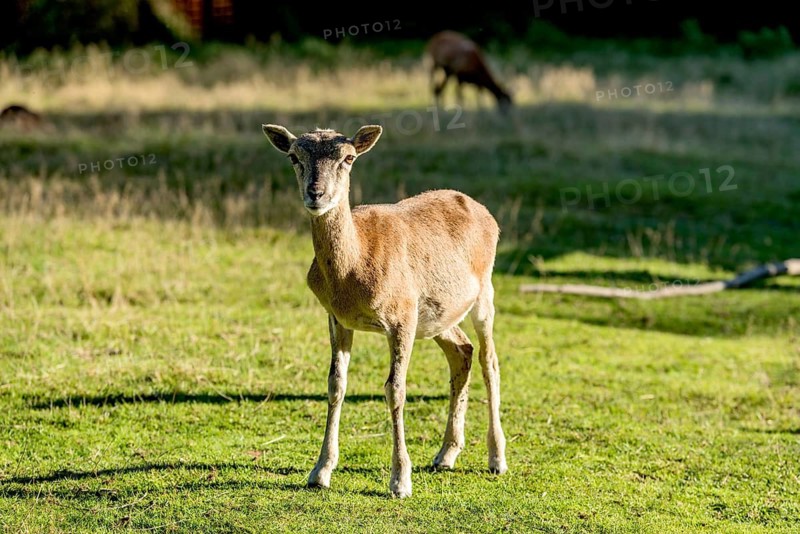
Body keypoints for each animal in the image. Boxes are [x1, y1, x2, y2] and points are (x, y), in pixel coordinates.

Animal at [261, 123, 508, 498]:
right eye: (294, 157)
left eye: (348, 158)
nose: (316, 194)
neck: (353, 271)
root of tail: (485, 213)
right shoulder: (337, 318)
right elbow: (336, 384)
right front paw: (319, 472)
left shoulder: (402, 314)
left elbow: (395, 389)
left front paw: (400, 480)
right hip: (437, 316)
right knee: (461, 351)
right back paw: (446, 454)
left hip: (485, 293)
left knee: (489, 360)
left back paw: (496, 459)